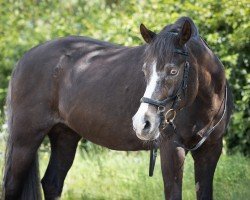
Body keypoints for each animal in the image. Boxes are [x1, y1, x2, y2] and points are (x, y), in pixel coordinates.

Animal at [1, 17, 233, 200]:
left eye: (173, 71)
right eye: (144, 70)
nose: (142, 123)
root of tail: (24, 59)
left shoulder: (210, 151)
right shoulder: (171, 150)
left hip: (65, 135)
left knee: (52, 183)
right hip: (25, 139)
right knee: (11, 186)